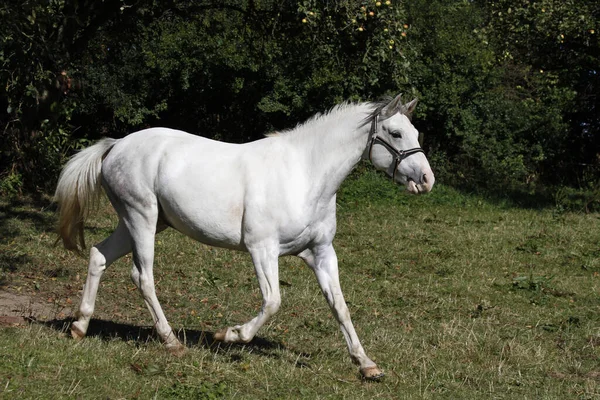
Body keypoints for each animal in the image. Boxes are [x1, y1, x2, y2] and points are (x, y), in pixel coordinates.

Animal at [55, 94, 432, 378]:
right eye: (396, 133)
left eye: (415, 131)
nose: (427, 179)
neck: (304, 174)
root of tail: (116, 145)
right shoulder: (262, 249)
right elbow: (273, 301)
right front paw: (230, 335)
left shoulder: (321, 252)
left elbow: (340, 306)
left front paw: (366, 364)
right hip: (141, 219)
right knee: (142, 276)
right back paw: (171, 342)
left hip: (139, 222)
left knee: (98, 255)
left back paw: (80, 326)